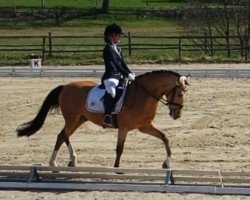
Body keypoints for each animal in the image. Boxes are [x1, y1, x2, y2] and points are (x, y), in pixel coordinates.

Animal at [16, 70, 189, 169]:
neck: (143, 94)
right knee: (63, 135)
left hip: (80, 119)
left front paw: (167, 163)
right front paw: (116, 168)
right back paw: (60, 161)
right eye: (180, 94)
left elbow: (165, 137)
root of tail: (65, 86)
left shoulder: (145, 126)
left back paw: (65, 161)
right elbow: (119, 148)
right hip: (72, 118)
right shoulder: (124, 128)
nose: (178, 115)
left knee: (62, 135)